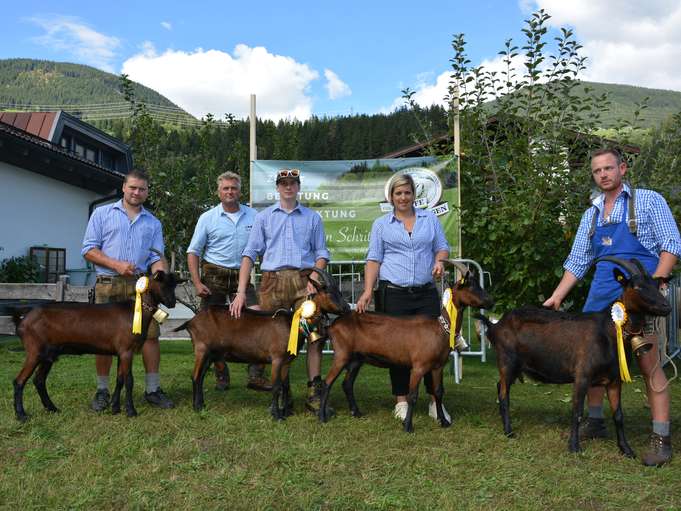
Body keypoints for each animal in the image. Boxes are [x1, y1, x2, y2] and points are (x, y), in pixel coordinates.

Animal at [11, 272, 181, 420]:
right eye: (162, 284)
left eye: (174, 285)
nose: (172, 302)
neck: (136, 313)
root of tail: (23, 319)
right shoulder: (127, 351)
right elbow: (129, 380)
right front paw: (131, 411)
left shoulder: (121, 351)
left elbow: (119, 379)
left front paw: (115, 408)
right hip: (34, 350)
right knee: (19, 381)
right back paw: (21, 415)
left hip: (49, 354)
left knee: (39, 380)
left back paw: (52, 408)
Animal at [174, 268, 350, 420]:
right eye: (328, 292)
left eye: (340, 292)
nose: (346, 308)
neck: (292, 323)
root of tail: (191, 321)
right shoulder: (276, 358)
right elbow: (276, 386)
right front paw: (277, 416)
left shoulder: (286, 361)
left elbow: (285, 386)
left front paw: (285, 412)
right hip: (201, 349)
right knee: (195, 376)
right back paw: (197, 407)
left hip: (211, 354)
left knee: (201, 376)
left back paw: (202, 405)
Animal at [318, 262, 494, 434]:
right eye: (470, 286)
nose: (490, 302)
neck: (440, 328)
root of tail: (333, 325)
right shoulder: (418, 367)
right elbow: (412, 396)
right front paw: (408, 426)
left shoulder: (437, 367)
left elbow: (438, 392)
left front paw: (443, 421)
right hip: (341, 354)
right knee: (326, 383)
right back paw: (322, 417)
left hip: (356, 359)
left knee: (347, 384)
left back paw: (356, 413)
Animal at [476, 256, 672, 456]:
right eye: (637, 286)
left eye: (657, 285)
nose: (666, 306)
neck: (609, 330)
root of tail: (495, 325)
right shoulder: (582, 375)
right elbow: (576, 412)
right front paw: (574, 447)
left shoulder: (614, 379)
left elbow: (618, 415)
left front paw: (626, 449)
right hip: (507, 361)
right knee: (504, 395)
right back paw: (509, 431)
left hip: (515, 367)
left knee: (499, 386)